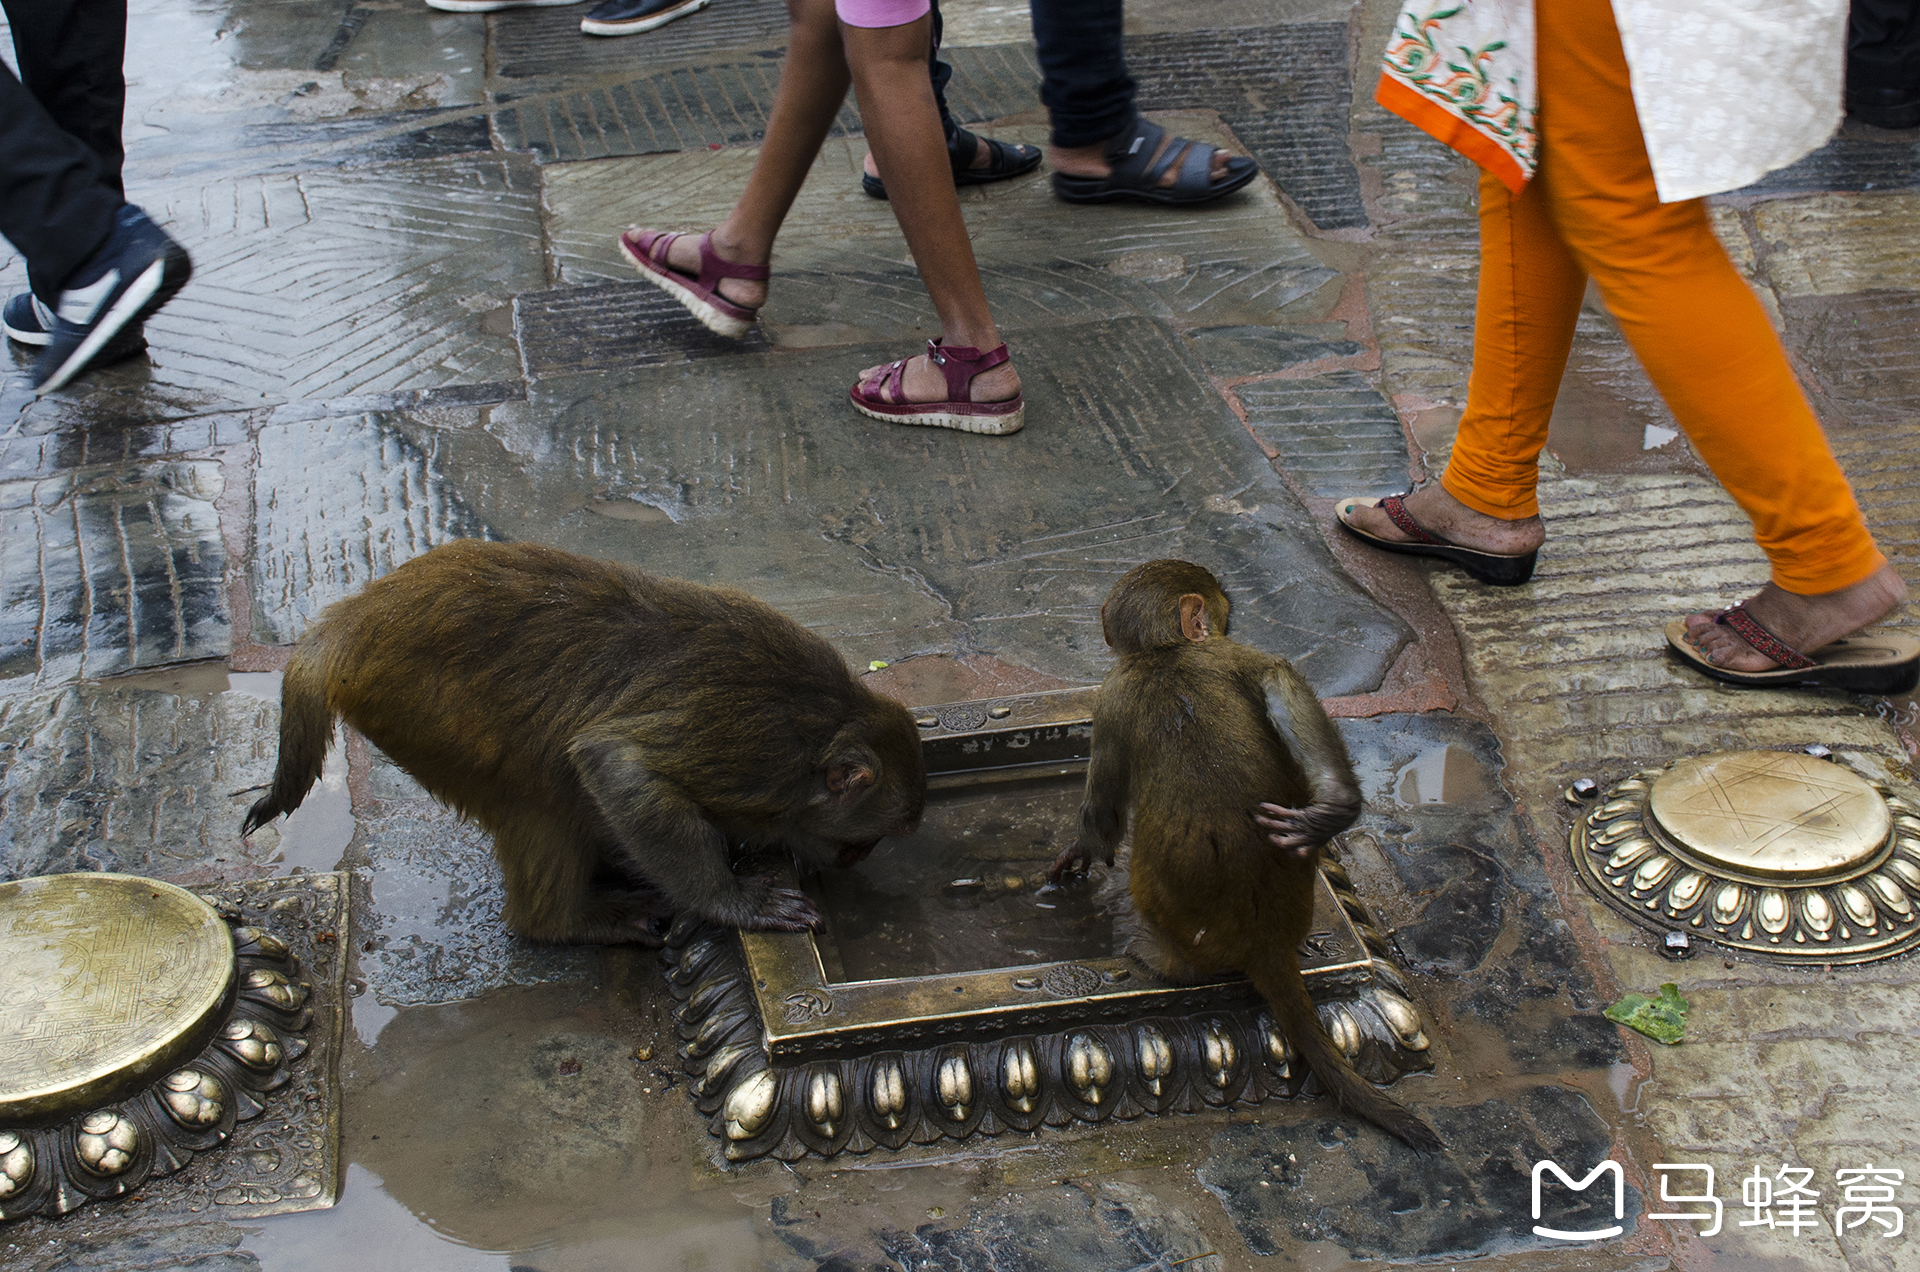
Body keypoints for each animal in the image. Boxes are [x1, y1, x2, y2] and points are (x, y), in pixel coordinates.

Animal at [240, 538, 929, 945]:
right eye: (863, 839)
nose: (855, 861)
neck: (828, 717)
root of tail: (352, 622)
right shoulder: (755, 754)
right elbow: (615, 763)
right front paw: (729, 900)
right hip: (421, 710)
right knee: (545, 792)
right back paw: (563, 921)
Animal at [1052, 564, 1443, 1152]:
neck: (1164, 653)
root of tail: (1266, 943)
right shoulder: (1230, 657)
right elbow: (1279, 680)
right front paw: (1333, 808)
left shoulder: (1112, 696)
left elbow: (1104, 817)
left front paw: (1083, 849)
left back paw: (1166, 964)